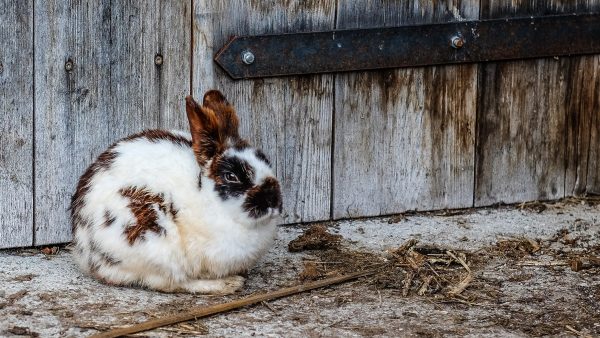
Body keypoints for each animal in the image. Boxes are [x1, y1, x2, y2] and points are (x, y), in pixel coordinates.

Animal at [69, 90, 282, 294]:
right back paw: (227, 284)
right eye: (231, 176)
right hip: (154, 242)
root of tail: (85, 252)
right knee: (171, 283)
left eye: (266, 161)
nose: (273, 200)